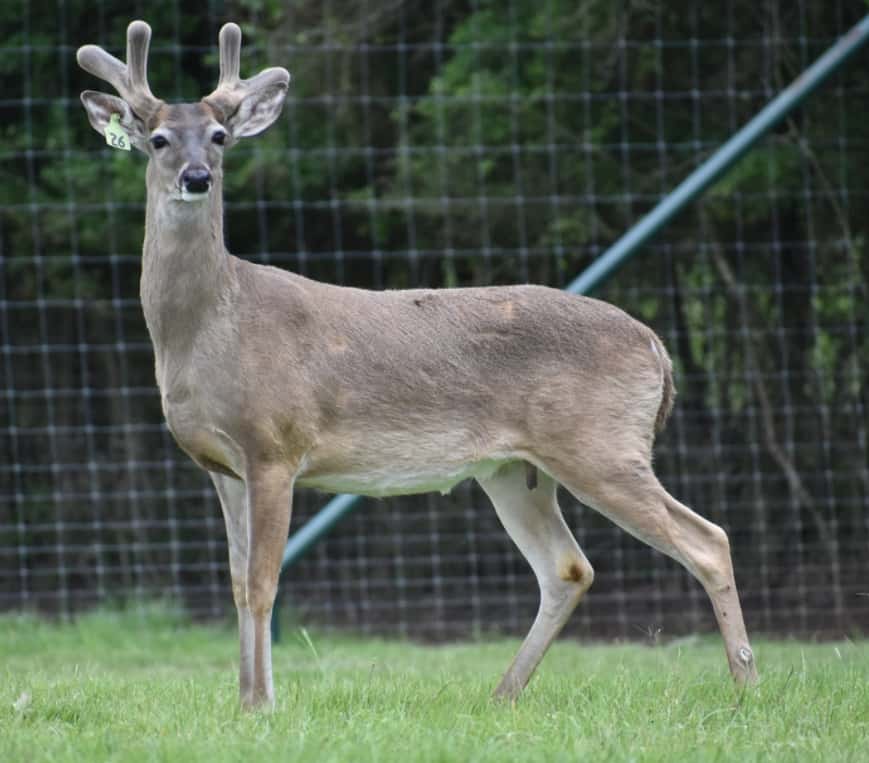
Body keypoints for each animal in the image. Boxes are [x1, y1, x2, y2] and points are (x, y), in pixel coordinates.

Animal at [76, 20, 757, 710]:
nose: (196, 177)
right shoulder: (220, 465)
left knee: (708, 541)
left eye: (219, 137)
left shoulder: (275, 446)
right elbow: (239, 584)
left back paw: (746, 685)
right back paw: (503, 694)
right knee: (568, 568)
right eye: (158, 138)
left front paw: (265, 703)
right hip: (516, 469)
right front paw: (244, 701)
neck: (212, 329)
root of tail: (656, 347)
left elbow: (265, 582)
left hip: (601, 442)